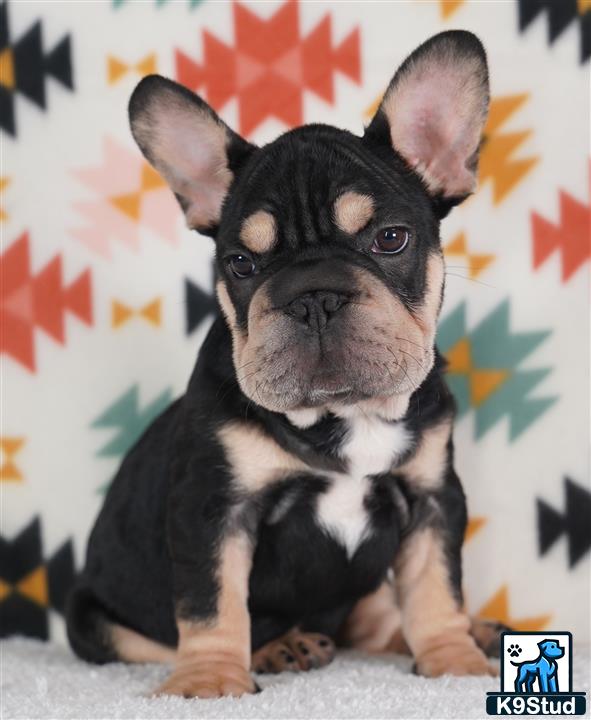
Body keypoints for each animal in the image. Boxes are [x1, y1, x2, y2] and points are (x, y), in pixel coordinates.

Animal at [68, 31, 504, 700]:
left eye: (391, 239)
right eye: (242, 264)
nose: (313, 297)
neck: (343, 416)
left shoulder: (433, 498)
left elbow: (436, 589)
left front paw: (453, 660)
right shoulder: (211, 510)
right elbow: (211, 603)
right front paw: (208, 680)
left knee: (377, 620)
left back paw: (468, 633)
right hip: (94, 620)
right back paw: (280, 647)